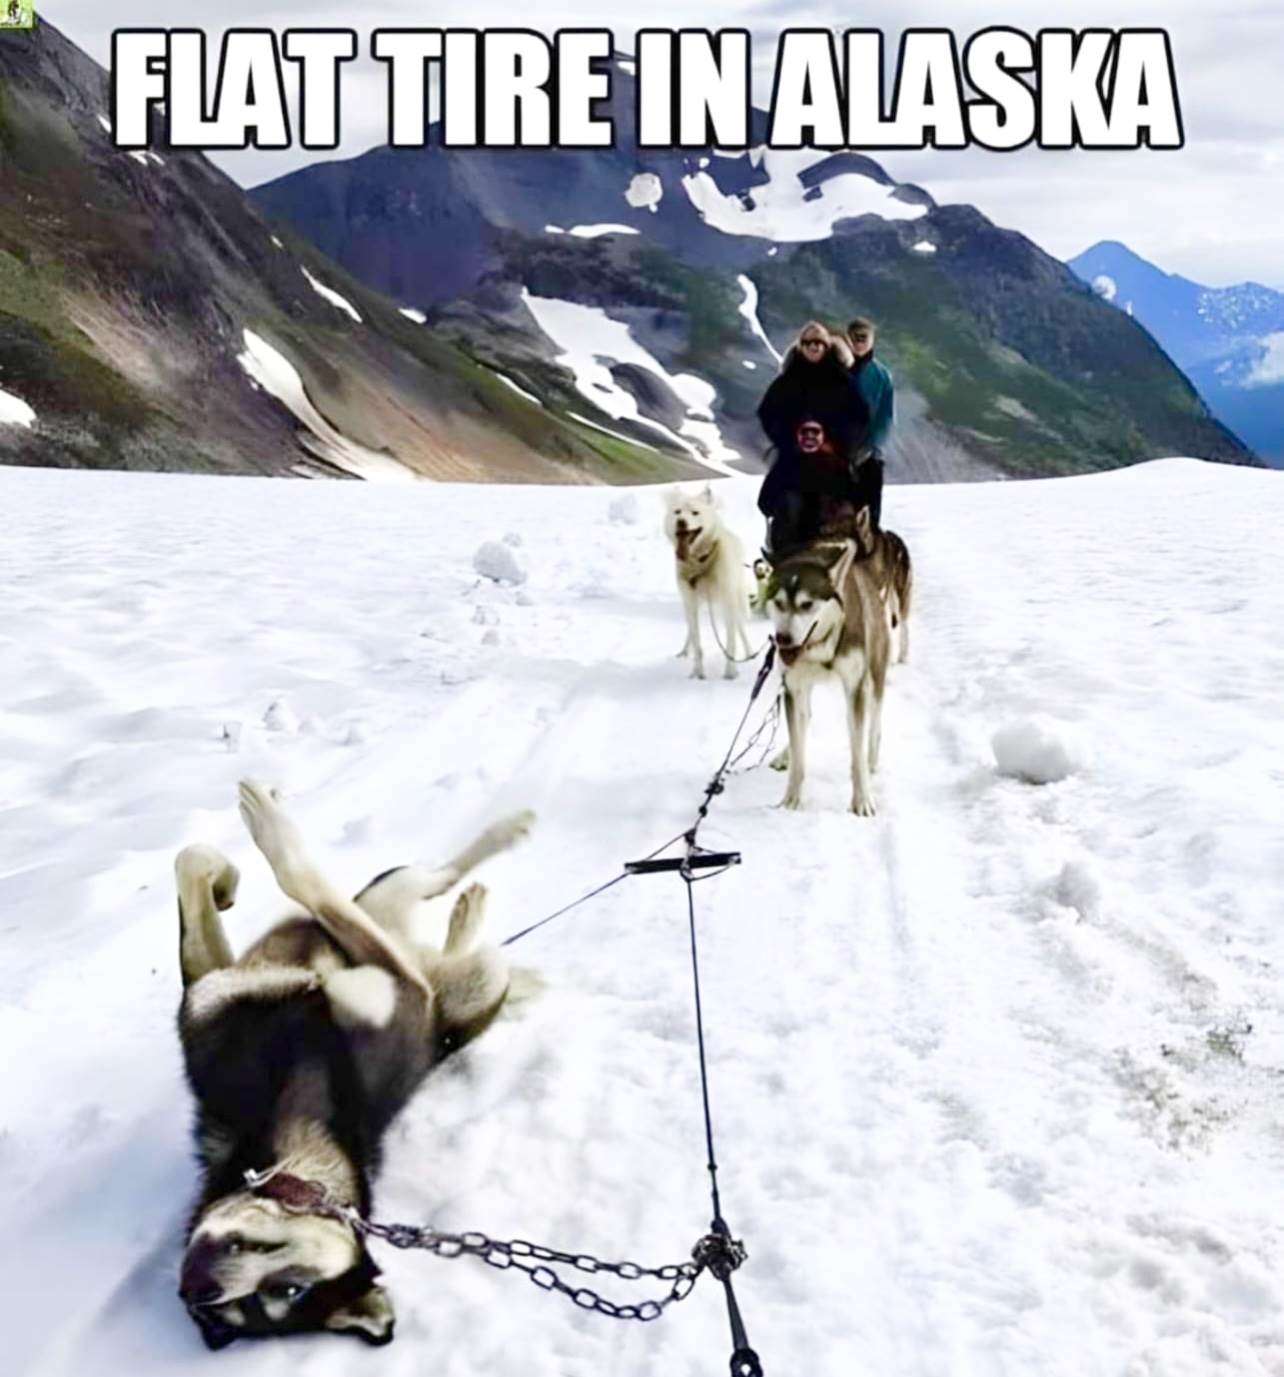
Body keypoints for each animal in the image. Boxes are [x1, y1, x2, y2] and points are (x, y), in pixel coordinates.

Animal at [173, 781, 534, 1349]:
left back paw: (498, 848)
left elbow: (283, 873)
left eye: (289, 1290)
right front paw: (226, 877)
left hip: (446, 955)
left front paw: (253, 848)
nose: (198, 1286)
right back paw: (467, 913)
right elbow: (192, 867)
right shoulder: (216, 987)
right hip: (446, 954)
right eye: (241, 1307)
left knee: (428, 885)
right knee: (433, 913)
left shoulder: (399, 989)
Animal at [664, 483, 754, 680]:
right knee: (690, 631)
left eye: (695, 512)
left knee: (741, 629)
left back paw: (749, 653)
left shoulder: (729, 602)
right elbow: (697, 642)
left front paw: (730, 672)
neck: (701, 562)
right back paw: (684, 651)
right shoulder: (690, 602)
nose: (681, 522)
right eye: (677, 512)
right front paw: (697, 673)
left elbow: (731, 641)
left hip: (737, 601)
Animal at [762, 512, 891, 815]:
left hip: (875, 676)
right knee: (805, 719)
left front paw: (862, 800)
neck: (821, 646)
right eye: (778, 603)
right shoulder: (793, 687)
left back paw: (872, 759)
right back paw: (785, 753)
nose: (783, 639)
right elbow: (799, 754)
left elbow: (856, 755)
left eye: (807, 604)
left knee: (874, 723)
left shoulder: (856, 689)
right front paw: (791, 799)